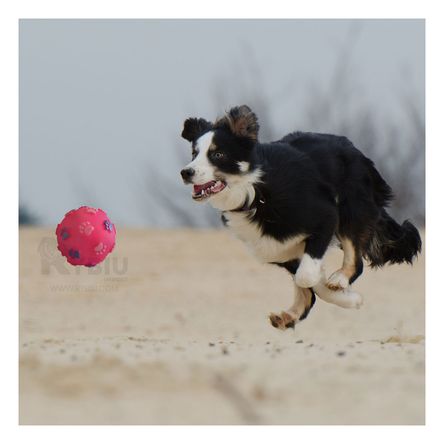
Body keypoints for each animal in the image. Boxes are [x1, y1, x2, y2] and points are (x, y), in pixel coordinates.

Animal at [179, 106, 422, 330]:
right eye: (193, 153)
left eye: (217, 154)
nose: (185, 172)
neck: (256, 193)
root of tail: (354, 149)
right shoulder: (274, 248)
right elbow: (308, 280)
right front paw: (348, 298)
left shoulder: (325, 216)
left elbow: (306, 276)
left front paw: (349, 297)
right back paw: (288, 316)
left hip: (351, 209)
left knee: (355, 259)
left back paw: (339, 280)